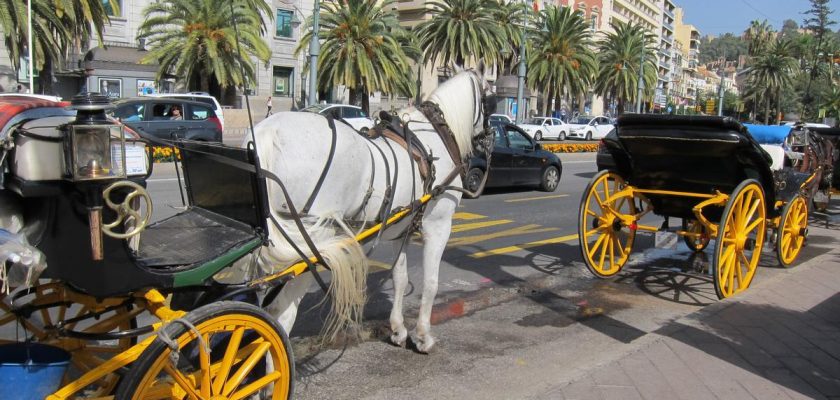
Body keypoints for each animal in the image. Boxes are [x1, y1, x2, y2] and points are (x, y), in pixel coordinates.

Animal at [254, 69, 492, 354]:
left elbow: (400, 277)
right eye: (492, 100)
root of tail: (268, 132)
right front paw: (423, 336)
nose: (490, 137)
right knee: (279, 316)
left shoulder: (402, 231)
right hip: (309, 245)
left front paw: (398, 329)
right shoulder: (439, 225)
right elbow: (431, 282)